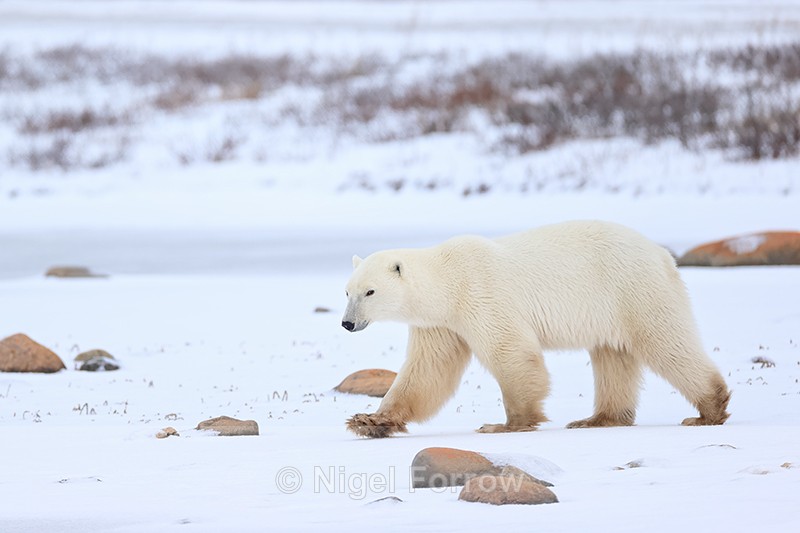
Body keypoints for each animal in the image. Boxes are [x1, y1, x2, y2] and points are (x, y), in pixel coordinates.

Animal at [341, 220, 731, 438]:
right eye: (347, 291)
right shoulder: (441, 323)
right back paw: (597, 419)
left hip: (632, 289)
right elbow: (426, 372)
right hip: (611, 310)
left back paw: (708, 410)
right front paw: (369, 420)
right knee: (613, 357)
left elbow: (510, 352)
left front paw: (508, 423)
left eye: (370, 291)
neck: (448, 280)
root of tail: (662, 254)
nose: (347, 323)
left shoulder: (481, 294)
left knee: (665, 341)